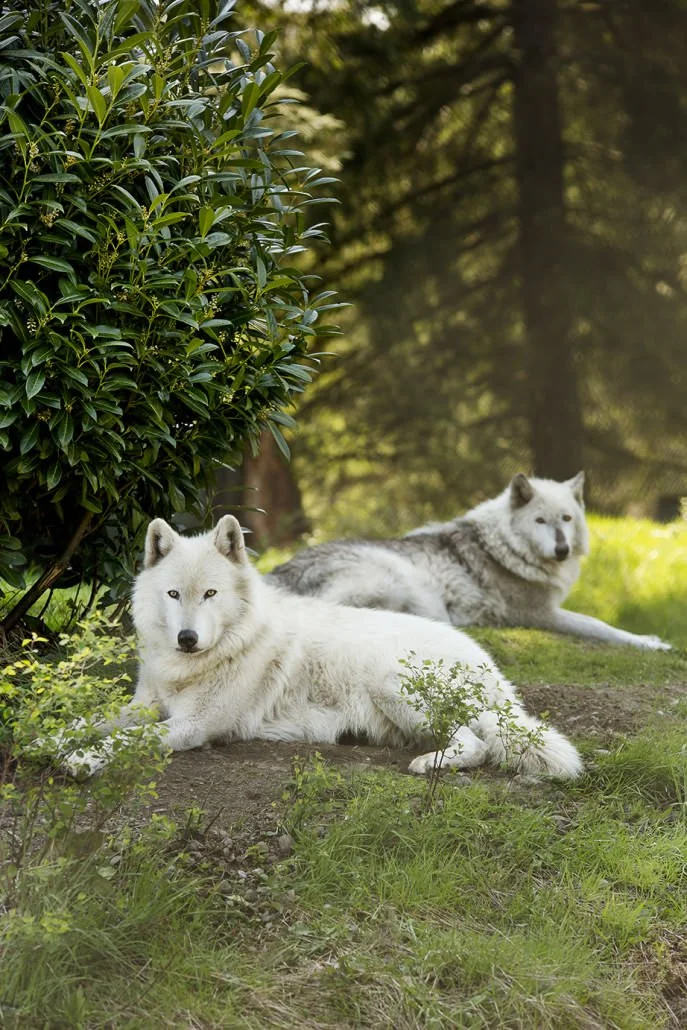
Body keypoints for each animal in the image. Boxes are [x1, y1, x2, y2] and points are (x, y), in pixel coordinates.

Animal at [61, 515, 581, 780]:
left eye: (210, 593)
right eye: (173, 594)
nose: (187, 639)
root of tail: (492, 669)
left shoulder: (192, 726)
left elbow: (122, 739)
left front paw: (81, 760)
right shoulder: (147, 706)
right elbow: (90, 721)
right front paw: (52, 739)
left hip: (390, 680)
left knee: (476, 744)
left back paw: (429, 763)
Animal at [267, 472, 670, 650]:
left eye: (566, 519)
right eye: (540, 521)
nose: (562, 550)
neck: (505, 547)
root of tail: (277, 574)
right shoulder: (541, 615)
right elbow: (599, 625)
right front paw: (652, 642)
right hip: (391, 577)